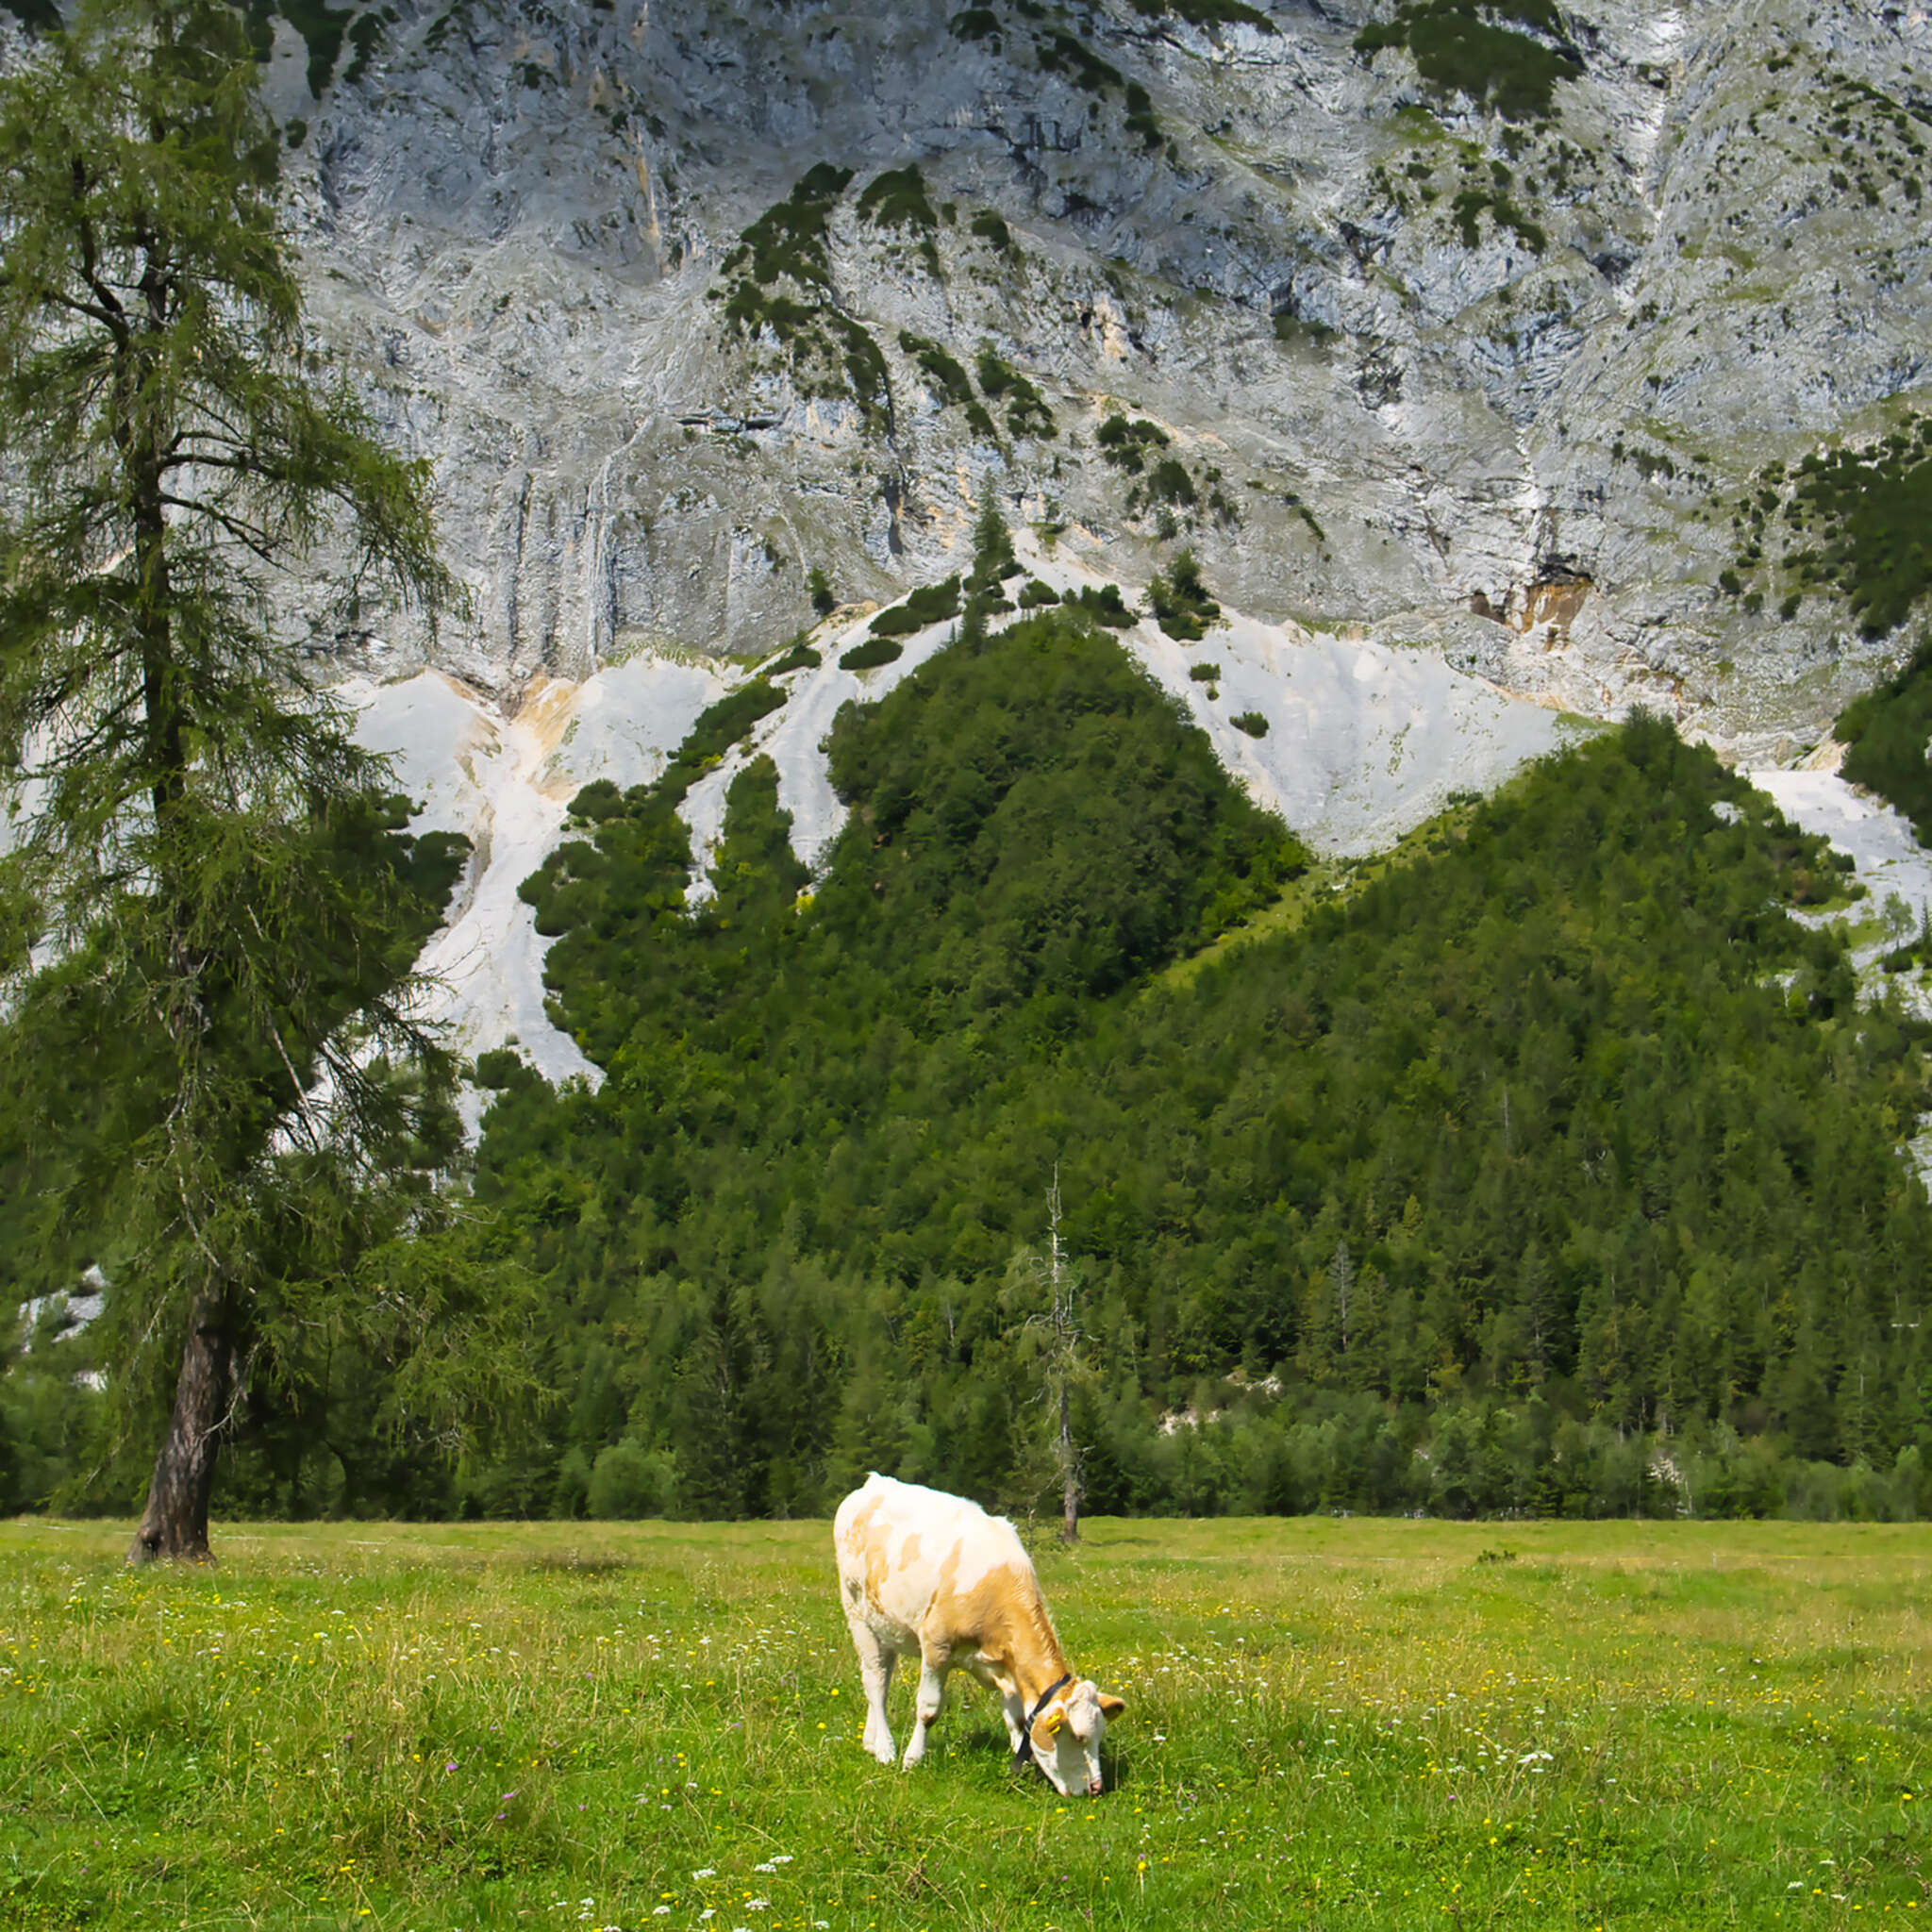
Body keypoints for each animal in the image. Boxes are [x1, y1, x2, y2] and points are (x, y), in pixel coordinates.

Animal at [832, 1473, 1125, 1796]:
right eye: (1078, 1737)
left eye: (1099, 1736)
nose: (1096, 1788)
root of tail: (874, 1482)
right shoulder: (936, 1646)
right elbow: (928, 1709)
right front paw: (912, 1758)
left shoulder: (1005, 1667)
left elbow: (1017, 1718)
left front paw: (1022, 1762)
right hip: (857, 1613)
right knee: (874, 1680)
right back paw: (885, 1748)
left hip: (886, 1624)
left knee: (882, 1681)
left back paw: (871, 1742)